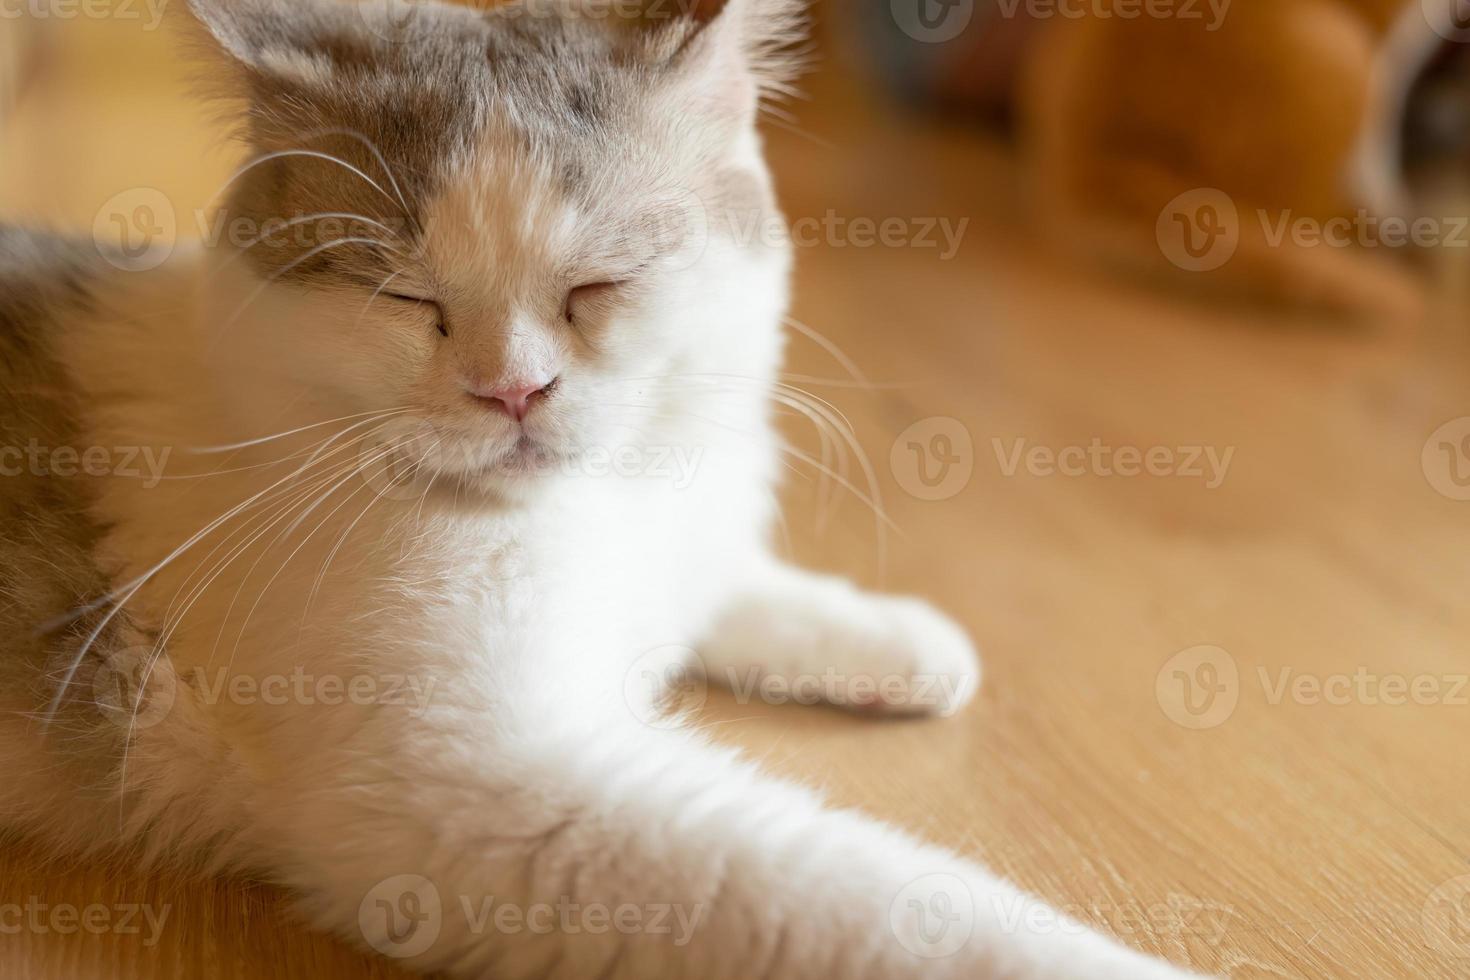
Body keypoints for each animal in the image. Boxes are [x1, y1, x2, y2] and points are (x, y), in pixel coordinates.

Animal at [0, 0, 1193, 975]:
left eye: (598, 285)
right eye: (406, 297)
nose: (511, 389)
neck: (591, 512)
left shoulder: (671, 544)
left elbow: (729, 584)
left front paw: (897, 642)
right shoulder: (487, 794)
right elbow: (885, 905)